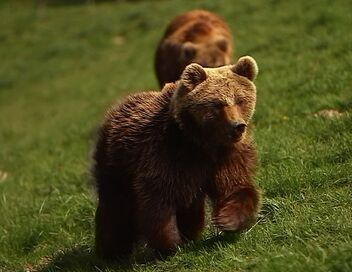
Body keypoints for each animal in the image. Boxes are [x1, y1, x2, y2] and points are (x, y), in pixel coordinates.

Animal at [93, 55, 262, 260]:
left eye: (240, 100)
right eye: (217, 103)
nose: (238, 126)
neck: (199, 143)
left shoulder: (225, 156)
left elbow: (234, 185)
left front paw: (227, 219)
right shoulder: (165, 155)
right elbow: (159, 201)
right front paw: (171, 245)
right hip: (116, 164)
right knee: (116, 207)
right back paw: (112, 251)